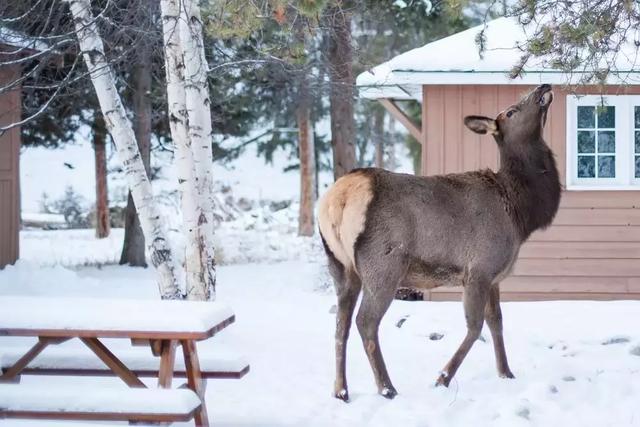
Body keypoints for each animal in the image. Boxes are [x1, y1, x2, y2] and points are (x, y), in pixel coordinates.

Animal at [318, 83, 560, 402]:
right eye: (511, 111)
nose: (544, 86)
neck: (521, 213)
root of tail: (339, 197)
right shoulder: (479, 268)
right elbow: (475, 327)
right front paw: (442, 377)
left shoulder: (495, 275)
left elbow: (496, 321)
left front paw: (506, 372)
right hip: (383, 264)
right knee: (365, 321)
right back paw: (387, 387)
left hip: (340, 265)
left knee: (340, 324)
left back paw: (340, 390)